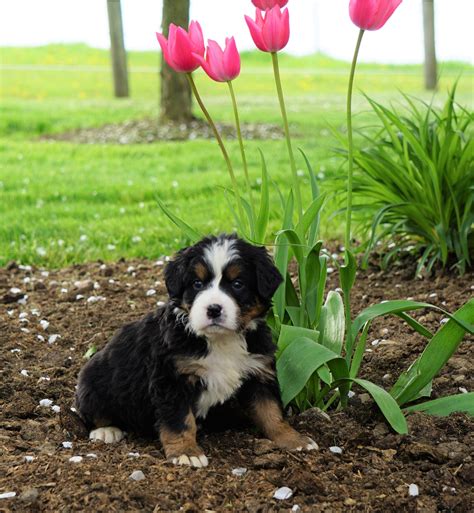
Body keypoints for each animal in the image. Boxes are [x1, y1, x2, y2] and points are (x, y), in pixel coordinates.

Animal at [75, 234, 318, 466]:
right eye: (197, 283)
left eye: (237, 284)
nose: (213, 309)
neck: (221, 341)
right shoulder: (172, 379)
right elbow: (180, 421)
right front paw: (186, 453)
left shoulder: (258, 371)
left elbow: (271, 412)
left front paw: (294, 439)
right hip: (94, 383)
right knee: (91, 413)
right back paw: (106, 431)